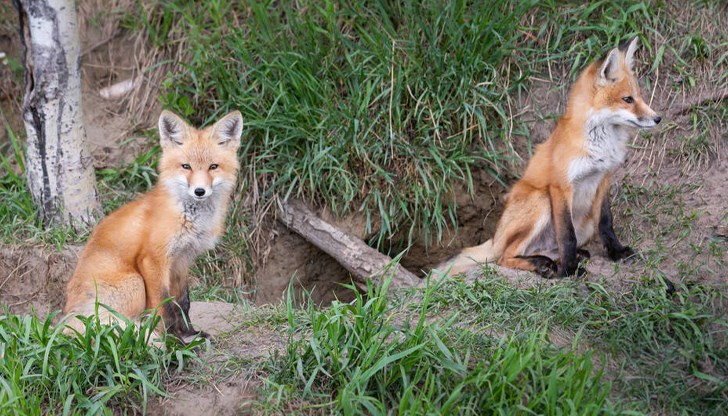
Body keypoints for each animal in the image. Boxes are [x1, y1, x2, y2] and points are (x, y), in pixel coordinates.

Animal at [64, 109, 243, 338]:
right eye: (186, 166)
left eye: (213, 167)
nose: (199, 191)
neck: (188, 217)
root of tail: (66, 321)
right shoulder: (153, 260)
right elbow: (164, 305)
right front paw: (173, 339)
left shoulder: (181, 261)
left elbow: (183, 302)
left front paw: (190, 333)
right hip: (135, 283)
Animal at [436, 37, 664, 278]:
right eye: (627, 99)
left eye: (639, 97)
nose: (658, 118)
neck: (599, 146)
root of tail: (495, 237)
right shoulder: (561, 186)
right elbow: (567, 235)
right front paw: (569, 269)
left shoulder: (603, 179)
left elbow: (606, 223)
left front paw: (616, 252)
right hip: (541, 200)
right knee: (503, 257)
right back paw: (542, 264)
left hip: (584, 223)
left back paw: (562, 257)